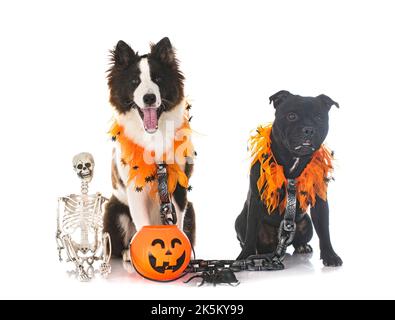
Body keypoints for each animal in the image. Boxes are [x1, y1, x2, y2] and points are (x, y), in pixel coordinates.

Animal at [104, 38, 196, 262]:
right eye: (134, 82)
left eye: (158, 79)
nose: (149, 98)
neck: (153, 137)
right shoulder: (134, 190)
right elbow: (143, 224)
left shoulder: (179, 186)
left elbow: (177, 223)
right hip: (115, 209)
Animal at [235, 90, 344, 268]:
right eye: (292, 116)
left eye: (319, 117)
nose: (309, 129)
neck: (294, 160)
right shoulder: (256, 200)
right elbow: (250, 232)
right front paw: (244, 256)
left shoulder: (320, 200)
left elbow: (324, 230)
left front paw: (330, 255)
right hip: (239, 221)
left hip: (306, 223)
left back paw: (302, 246)